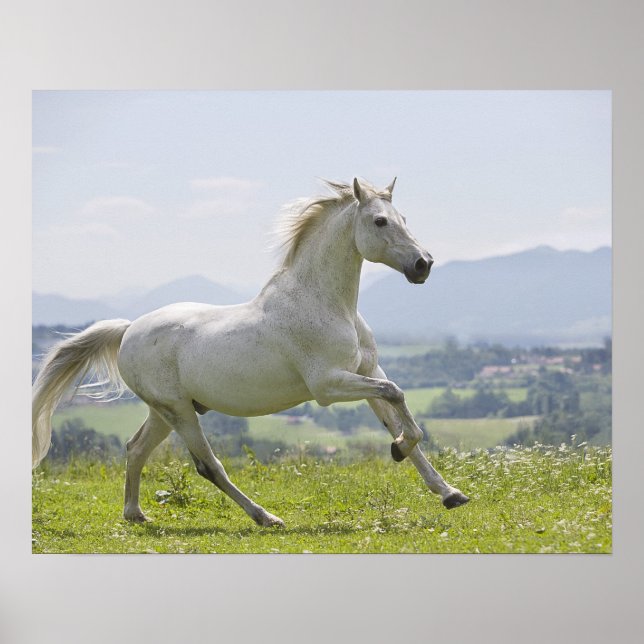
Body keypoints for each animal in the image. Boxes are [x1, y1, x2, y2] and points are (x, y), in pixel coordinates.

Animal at [32, 177, 469, 527]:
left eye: (404, 218)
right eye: (380, 221)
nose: (423, 264)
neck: (325, 303)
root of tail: (127, 331)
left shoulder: (368, 372)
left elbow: (399, 415)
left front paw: (448, 492)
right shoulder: (328, 386)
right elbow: (399, 398)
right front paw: (400, 451)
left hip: (165, 411)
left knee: (135, 448)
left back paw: (136, 514)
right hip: (179, 411)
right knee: (208, 466)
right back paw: (265, 517)